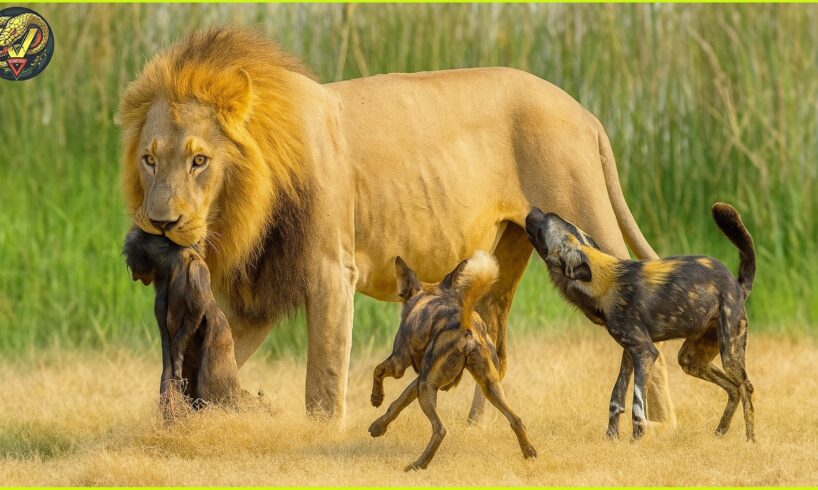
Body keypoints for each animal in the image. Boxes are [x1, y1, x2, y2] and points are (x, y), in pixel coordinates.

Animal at [117, 26, 675, 426]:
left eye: (200, 161)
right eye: (149, 160)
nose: (162, 224)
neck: (250, 202)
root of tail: (586, 113)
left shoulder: (330, 271)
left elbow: (322, 384)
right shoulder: (261, 291)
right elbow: (220, 350)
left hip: (583, 226)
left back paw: (659, 428)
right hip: (509, 252)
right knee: (495, 347)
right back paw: (481, 428)